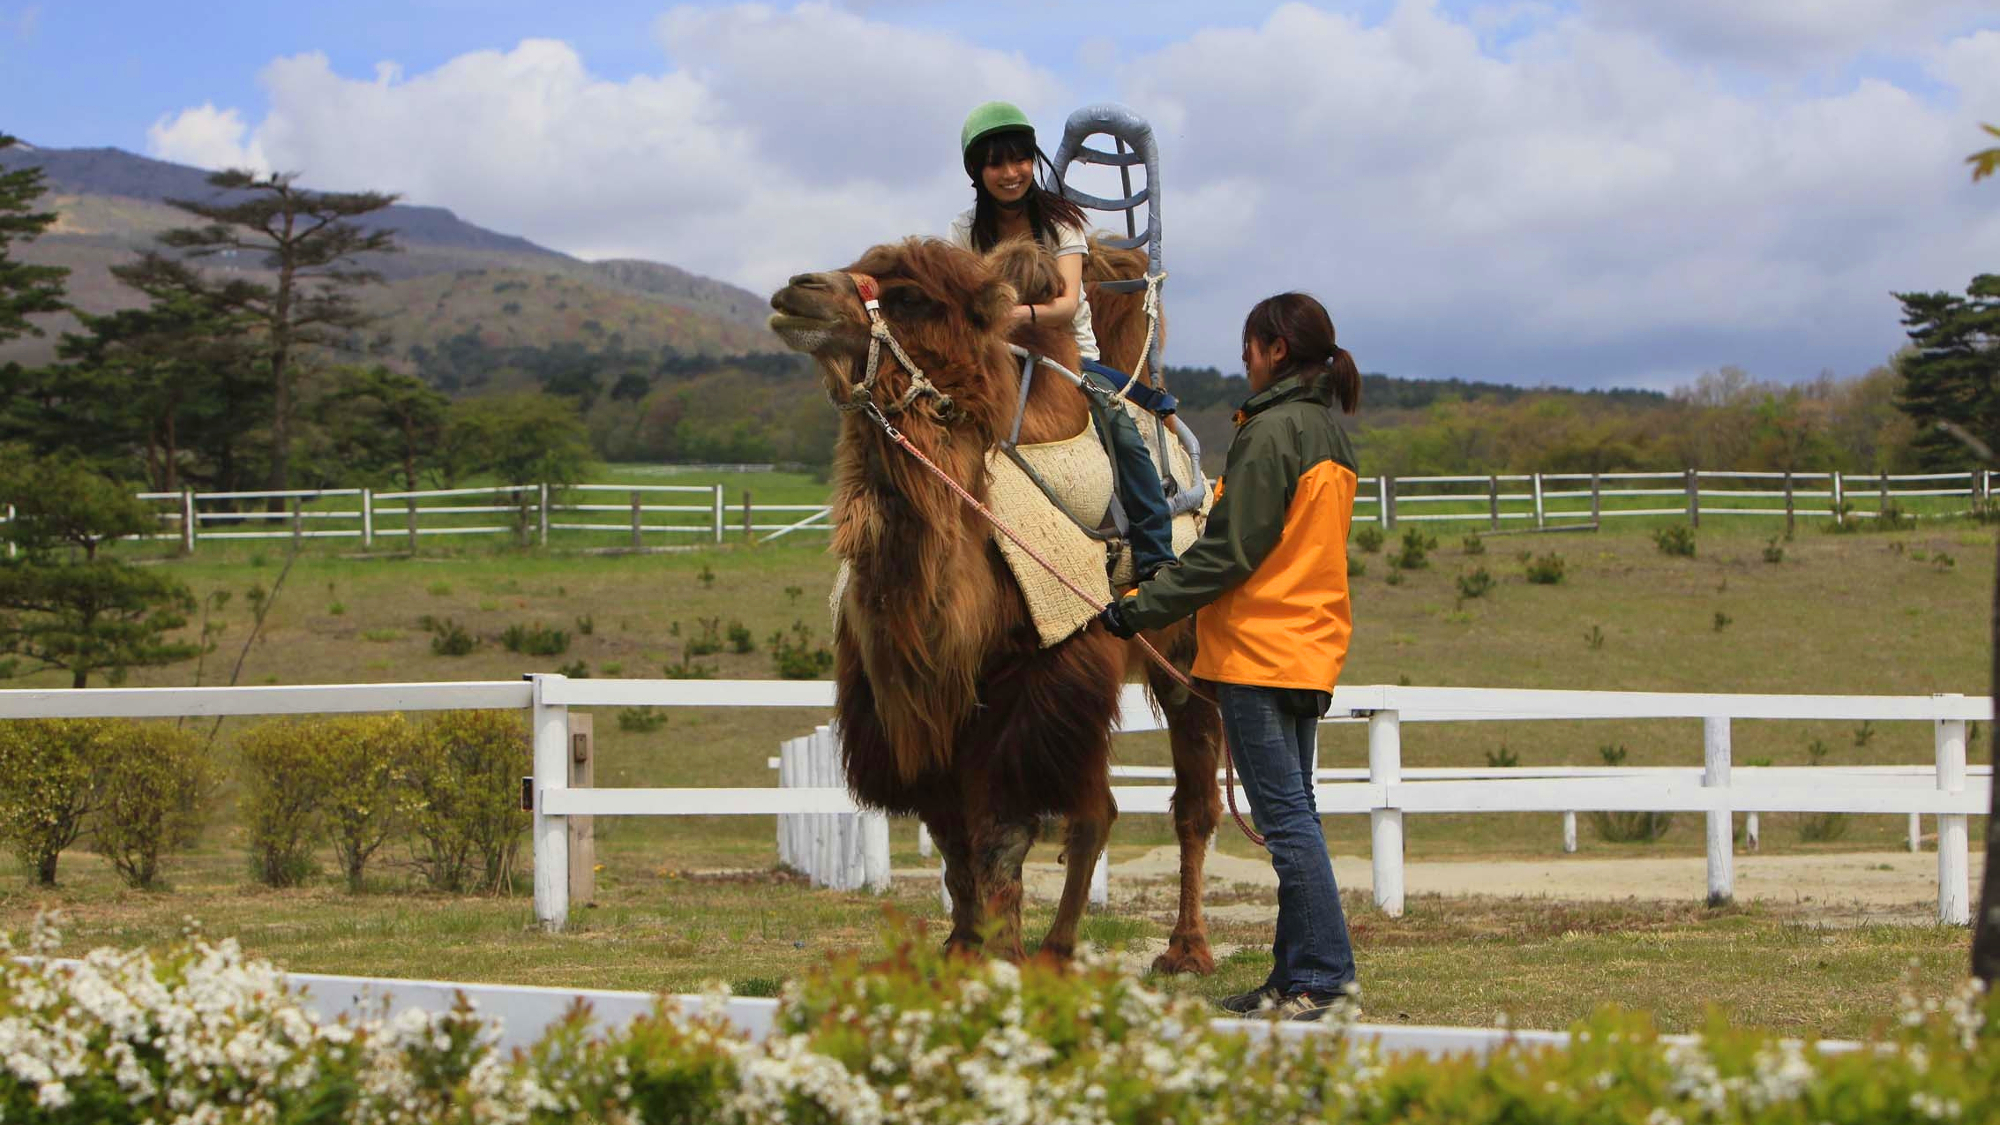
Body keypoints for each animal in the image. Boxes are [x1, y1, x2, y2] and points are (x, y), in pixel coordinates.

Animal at [772, 234, 1224, 964]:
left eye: (911, 296)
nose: (796, 290)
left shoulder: (1044, 676)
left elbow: (1001, 836)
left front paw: (1002, 954)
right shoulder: (908, 701)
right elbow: (952, 839)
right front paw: (962, 948)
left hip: (1181, 652)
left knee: (1187, 803)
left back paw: (1184, 949)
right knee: (1099, 811)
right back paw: (1060, 946)